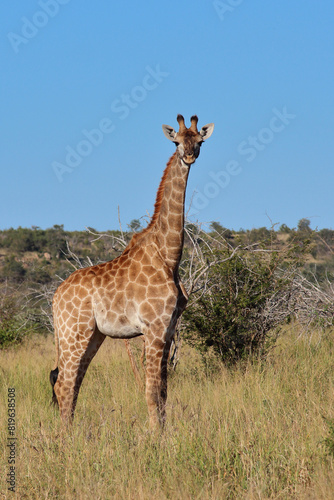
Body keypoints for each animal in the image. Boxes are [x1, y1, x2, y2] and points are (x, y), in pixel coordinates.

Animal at [51, 115, 215, 428]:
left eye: (200, 141)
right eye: (177, 142)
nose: (189, 156)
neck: (169, 255)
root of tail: (55, 298)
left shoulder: (169, 328)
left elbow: (163, 392)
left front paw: (164, 434)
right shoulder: (154, 327)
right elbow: (152, 391)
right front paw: (155, 437)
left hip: (93, 335)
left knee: (72, 382)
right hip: (73, 332)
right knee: (63, 382)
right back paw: (65, 438)